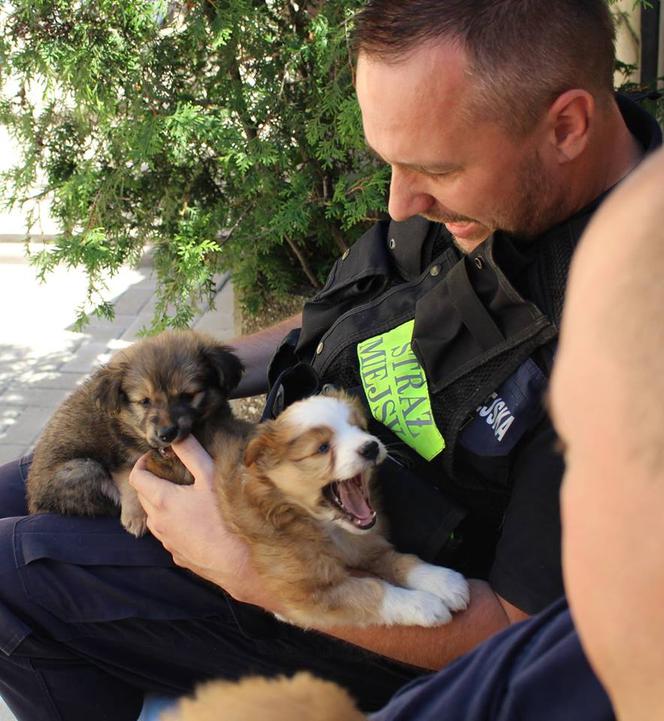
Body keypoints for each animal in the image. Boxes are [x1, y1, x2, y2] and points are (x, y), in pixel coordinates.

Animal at [27, 330, 244, 536]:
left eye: (187, 396)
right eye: (144, 401)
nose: (167, 434)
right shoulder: (122, 456)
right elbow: (129, 479)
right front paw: (136, 517)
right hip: (83, 468)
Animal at [210, 388, 470, 632]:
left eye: (360, 428)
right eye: (323, 447)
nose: (371, 446)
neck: (327, 527)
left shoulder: (365, 545)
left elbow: (398, 559)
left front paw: (443, 581)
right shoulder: (306, 592)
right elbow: (372, 590)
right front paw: (424, 604)